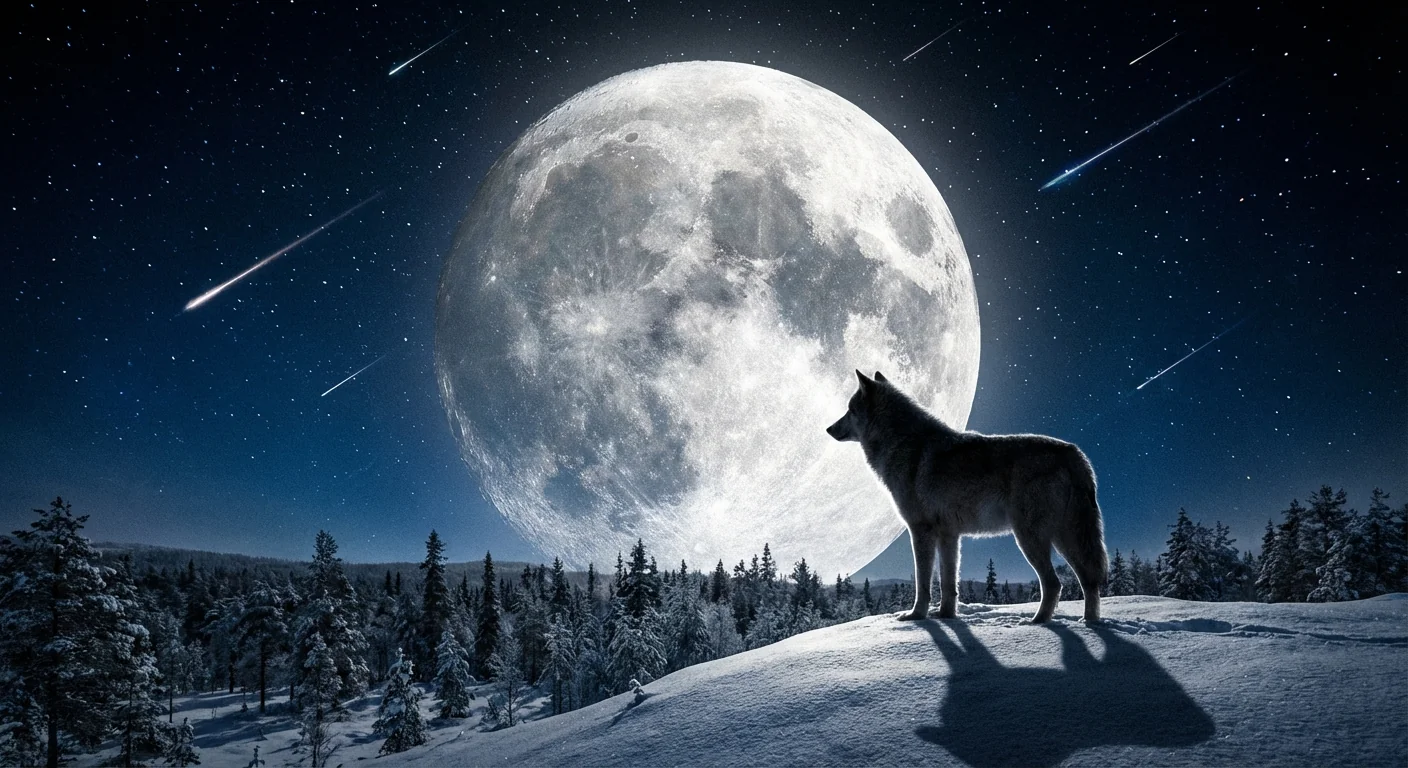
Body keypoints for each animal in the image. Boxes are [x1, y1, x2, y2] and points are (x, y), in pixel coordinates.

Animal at [827, 370, 1107, 623]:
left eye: (849, 410)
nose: (828, 428)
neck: (904, 444)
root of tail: (1074, 452)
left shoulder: (920, 530)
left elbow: (923, 584)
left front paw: (916, 616)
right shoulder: (949, 535)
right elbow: (949, 585)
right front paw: (946, 616)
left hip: (1031, 538)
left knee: (1054, 584)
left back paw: (1037, 623)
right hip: (1065, 539)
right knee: (1089, 580)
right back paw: (1089, 623)